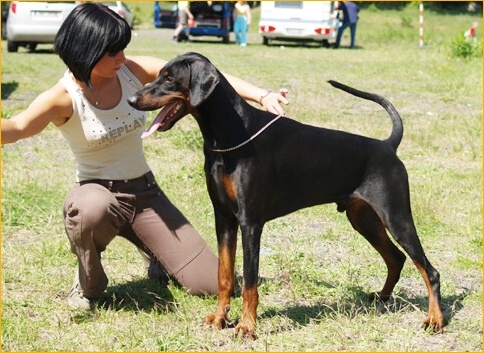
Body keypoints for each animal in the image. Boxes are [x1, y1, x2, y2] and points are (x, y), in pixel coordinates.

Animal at [126, 52, 444, 338]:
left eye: (169, 78)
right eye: (158, 74)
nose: (131, 100)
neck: (231, 135)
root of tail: (388, 145)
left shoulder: (250, 223)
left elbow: (250, 282)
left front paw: (246, 327)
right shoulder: (224, 218)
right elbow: (224, 275)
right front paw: (219, 319)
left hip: (396, 216)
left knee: (429, 270)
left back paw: (435, 320)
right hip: (363, 218)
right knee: (396, 258)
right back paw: (381, 297)